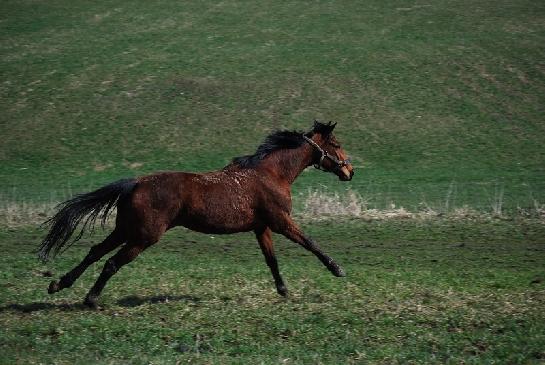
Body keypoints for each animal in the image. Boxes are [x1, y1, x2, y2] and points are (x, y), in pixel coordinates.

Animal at [38, 120, 352, 308]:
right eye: (336, 144)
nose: (350, 171)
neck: (271, 174)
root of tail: (135, 183)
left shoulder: (261, 227)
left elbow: (271, 260)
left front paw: (283, 290)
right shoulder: (280, 222)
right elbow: (310, 242)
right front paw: (337, 269)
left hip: (125, 230)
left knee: (94, 252)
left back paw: (58, 284)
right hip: (143, 237)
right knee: (111, 263)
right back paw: (90, 299)